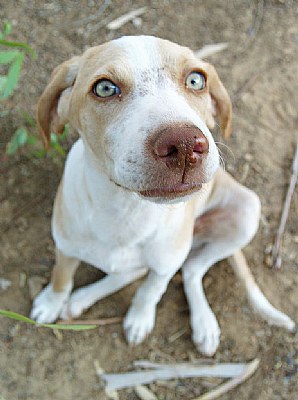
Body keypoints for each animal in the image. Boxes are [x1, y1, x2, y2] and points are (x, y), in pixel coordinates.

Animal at [30, 36, 296, 356]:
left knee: (189, 270)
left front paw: (139, 318)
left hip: (246, 211)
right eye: (105, 88)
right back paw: (80, 300)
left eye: (196, 80)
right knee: (129, 272)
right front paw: (51, 302)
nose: (184, 145)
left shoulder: (165, 266)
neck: (125, 210)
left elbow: (150, 291)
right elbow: (61, 277)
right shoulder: (65, 246)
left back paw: (204, 326)